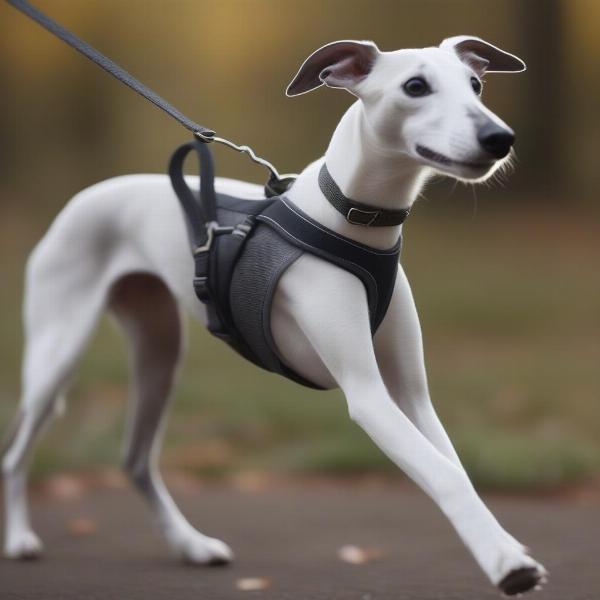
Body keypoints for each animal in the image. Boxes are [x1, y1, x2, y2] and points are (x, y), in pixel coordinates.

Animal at [2, 37, 548, 596]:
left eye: (476, 85)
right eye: (415, 86)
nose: (499, 138)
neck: (351, 218)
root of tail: (84, 196)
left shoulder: (411, 396)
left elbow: (453, 469)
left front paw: (500, 547)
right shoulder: (368, 395)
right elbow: (444, 474)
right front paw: (507, 563)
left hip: (159, 351)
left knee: (135, 460)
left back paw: (190, 545)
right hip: (58, 353)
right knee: (17, 452)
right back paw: (21, 537)